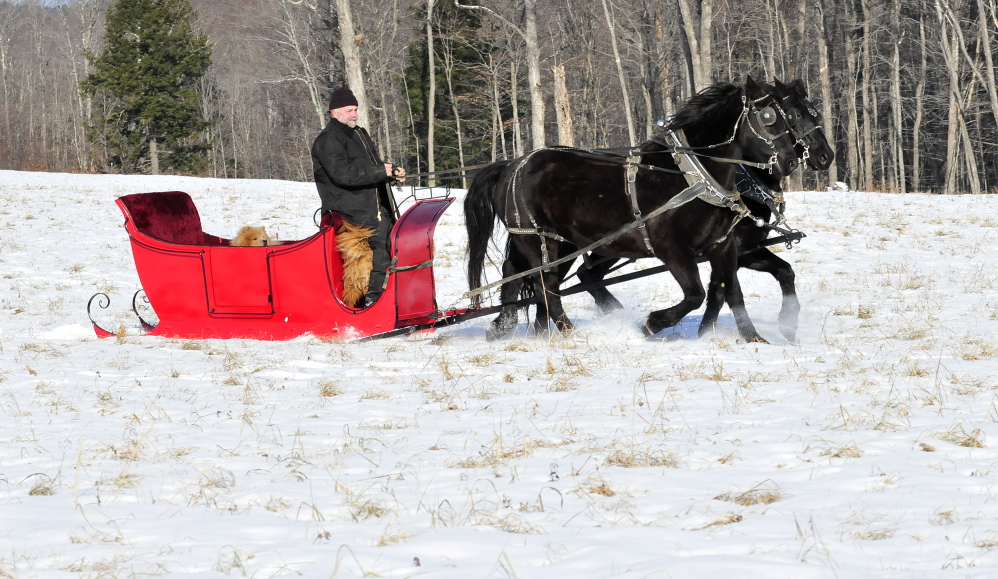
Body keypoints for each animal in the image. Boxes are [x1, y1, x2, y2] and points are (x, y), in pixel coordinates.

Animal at [465, 76, 803, 342]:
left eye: (790, 118)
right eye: (769, 116)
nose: (791, 161)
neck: (694, 174)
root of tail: (513, 164)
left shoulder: (723, 246)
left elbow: (731, 291)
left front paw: (754, 337)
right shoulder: (673, 248)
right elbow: (696, 294)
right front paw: (653, 324)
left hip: (559, 243)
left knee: (519, 274)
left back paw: (508, 325)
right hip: (540, 239)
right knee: (545, 284)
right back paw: (567, 330)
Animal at [575, 78, 834, 343]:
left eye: (814, 114)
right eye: (793, 116)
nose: (826, 156)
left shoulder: (740, 247)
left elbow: (781, 272)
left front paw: (785, 326)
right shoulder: (736, 249)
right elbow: (723, 292)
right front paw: (714, 332)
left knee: (587, 275)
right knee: (586, 275)